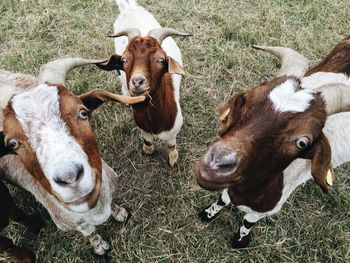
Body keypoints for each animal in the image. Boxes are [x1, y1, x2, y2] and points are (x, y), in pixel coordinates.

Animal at [0, 57, 145, 256]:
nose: (69, 177)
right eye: (12, 144)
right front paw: (99, 246)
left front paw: (120, 213)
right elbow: (90, 232)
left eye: (83, 112)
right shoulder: (72, 223)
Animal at [95, 0, 190, 166]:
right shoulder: (143, 127)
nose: (137, 81)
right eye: (124, 60)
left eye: (161, 60)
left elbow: (171, 144)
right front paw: (148, 151)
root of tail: (129, 8)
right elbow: (147, 141)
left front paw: (173, 160)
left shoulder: (173, 130)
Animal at [196, 35, 350, 250]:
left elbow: (248, 221)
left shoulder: (265, 209)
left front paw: (240, 241)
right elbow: (222, 199)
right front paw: (208, 214)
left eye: (303, 142)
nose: (216, 164)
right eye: (246, 98)